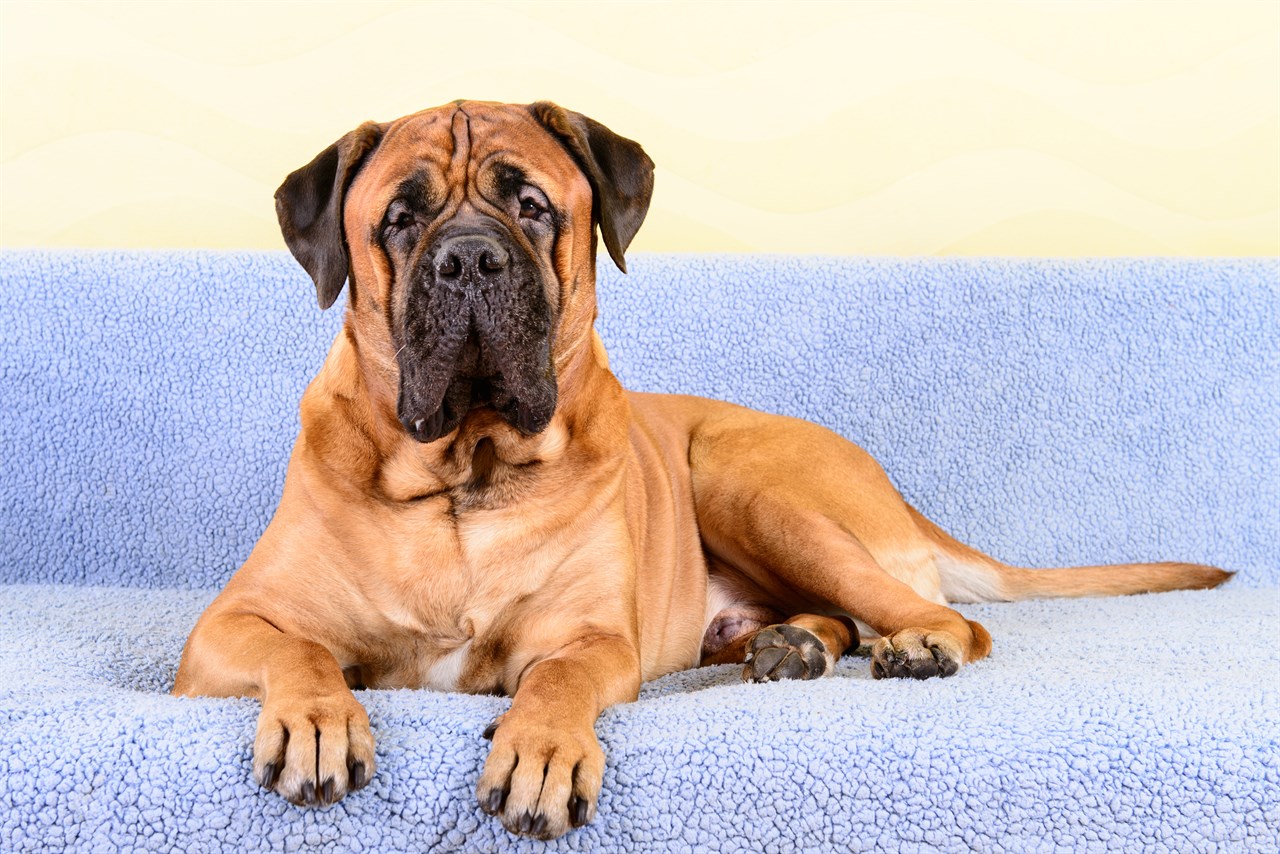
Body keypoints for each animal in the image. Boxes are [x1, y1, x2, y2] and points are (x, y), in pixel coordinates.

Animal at [175, 96, 1233, 839]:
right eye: (400, 218)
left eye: (532, 207)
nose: (470, 259)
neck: (464, 479)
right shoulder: (224, 633)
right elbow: (301, 650)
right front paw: (318, 718)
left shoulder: (593, 639)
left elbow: (557, 682)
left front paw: (542, 749)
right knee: (832, 615)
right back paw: (793, 646)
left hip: (743, 480)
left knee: (941, 618)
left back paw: (905, 646)